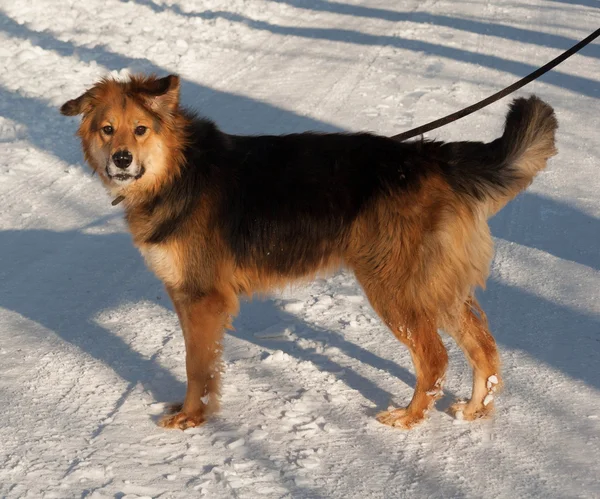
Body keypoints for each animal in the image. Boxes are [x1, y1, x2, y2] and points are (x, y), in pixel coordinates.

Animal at [61, 74, 556, 430]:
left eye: (141, 130)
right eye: (107, 130)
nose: (121, 159)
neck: (179, 172)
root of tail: (434, 158)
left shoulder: (203, 299)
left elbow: (196, 365)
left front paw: (192, 417)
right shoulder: (185, 296)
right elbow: (199, 362)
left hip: (393, 287)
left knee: (434, 358)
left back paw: (409, 417)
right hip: (435, 286)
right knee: (483, 346)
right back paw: (475, 408)